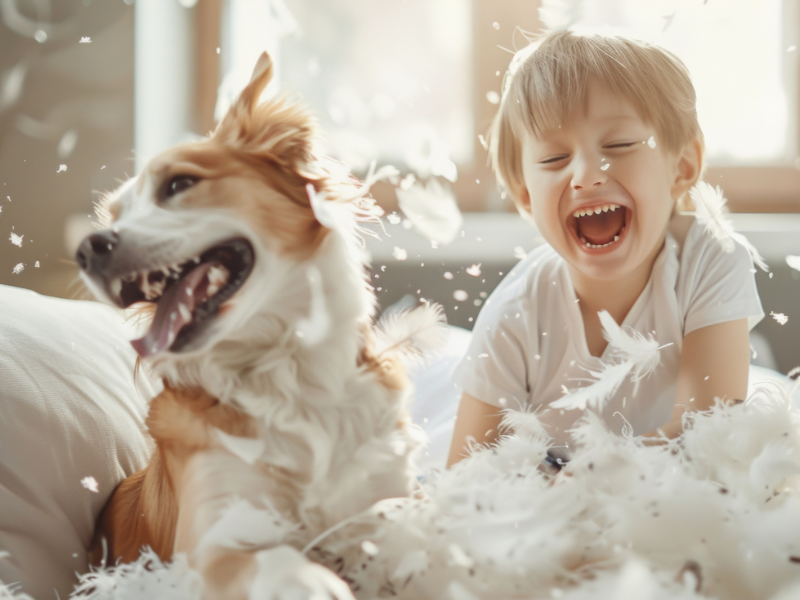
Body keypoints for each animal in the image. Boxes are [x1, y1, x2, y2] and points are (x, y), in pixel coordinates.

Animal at [77, 52, 440, 600]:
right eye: (114, 214)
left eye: (178, 184)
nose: (86, 249)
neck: (287, 367)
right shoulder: (211, 540)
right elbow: (275, 557)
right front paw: (314, 580)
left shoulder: (389, 482)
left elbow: (399, 516)